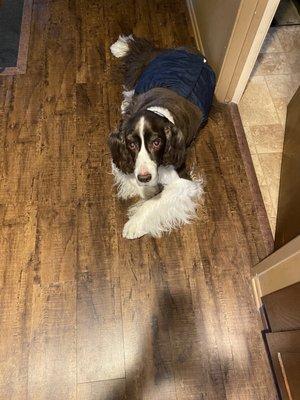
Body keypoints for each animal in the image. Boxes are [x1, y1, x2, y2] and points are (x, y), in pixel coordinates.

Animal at [109, 35, 214, 238]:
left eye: (157, 142)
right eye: (131, 145)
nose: (144, 177)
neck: (159, 109)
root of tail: (189, 50)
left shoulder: (183, 182)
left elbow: (154, 200)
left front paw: (133, 224)